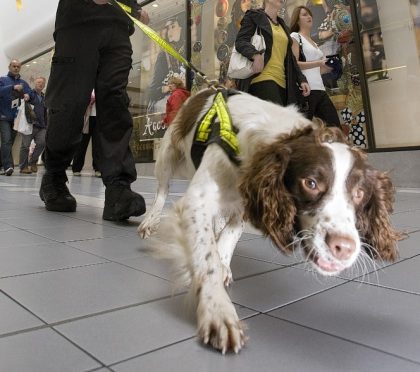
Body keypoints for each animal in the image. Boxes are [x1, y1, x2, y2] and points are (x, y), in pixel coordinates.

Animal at [139, 88, 400, 354]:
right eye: (310, 183)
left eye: (359, 193)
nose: (345, 247)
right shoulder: (197, 202)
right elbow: (207, 257)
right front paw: (218, 310)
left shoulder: (245, 205)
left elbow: (227, 239)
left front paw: (223, 267)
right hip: (168, 154)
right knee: (162, 191)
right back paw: (149, 221)